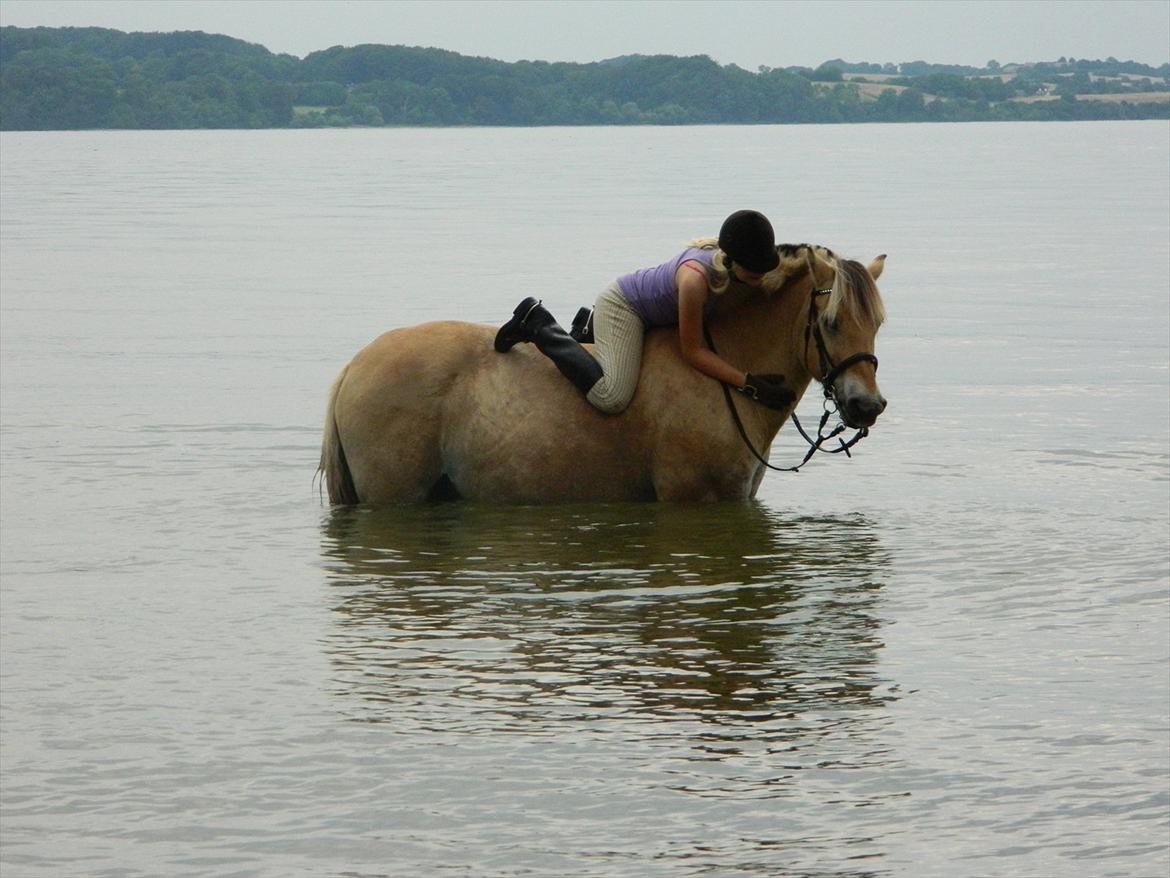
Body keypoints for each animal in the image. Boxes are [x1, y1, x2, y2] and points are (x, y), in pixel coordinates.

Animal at [320, 245, 884, 508]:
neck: (725, 379)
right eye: (832, 323)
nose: (868, 406)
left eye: (878, 322)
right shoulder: (693, 498)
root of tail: (354, 366)